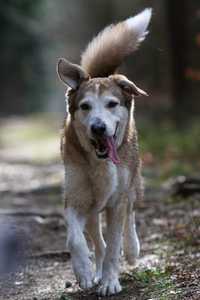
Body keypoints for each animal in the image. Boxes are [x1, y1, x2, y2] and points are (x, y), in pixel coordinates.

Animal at [57, 7, 152, 296]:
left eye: (111, 104)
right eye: (85, 106)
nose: (99, 128)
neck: (98, 164)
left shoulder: (117, 201)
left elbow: (114, 246)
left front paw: (111, 281)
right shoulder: (75, 200)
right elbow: (76, 240)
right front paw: (86, 273)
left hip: (133, 184)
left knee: (130, 215)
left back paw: (131, 249)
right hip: (91, 207)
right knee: (96, 239)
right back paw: (95, 270)